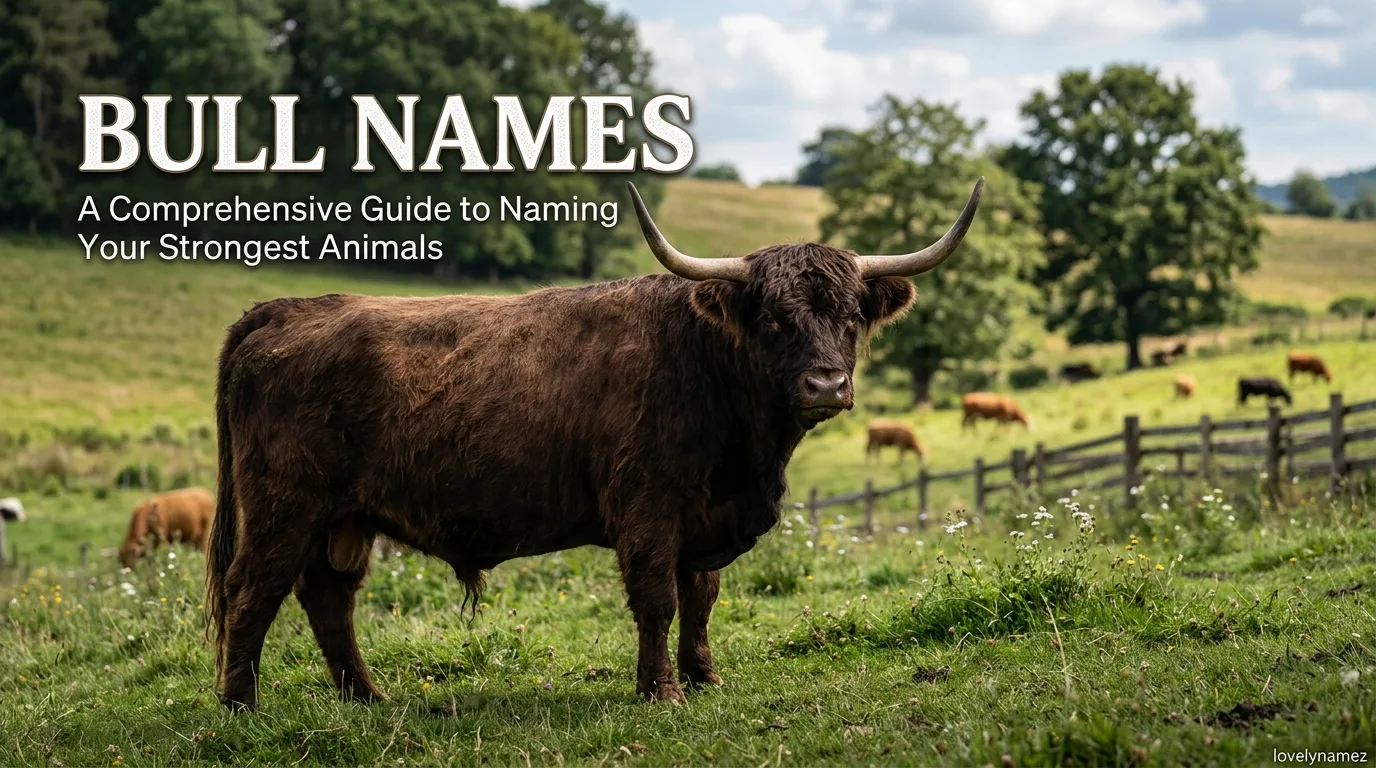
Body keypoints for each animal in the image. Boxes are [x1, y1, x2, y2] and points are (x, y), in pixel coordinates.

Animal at [203, 179, 986, 711]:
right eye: (772, 318)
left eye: (851, 315)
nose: (827, 384)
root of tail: (284, 309)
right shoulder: (648, 506)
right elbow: (658, 598)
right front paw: (662, 691)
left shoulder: (703, 520)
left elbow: (702, 597)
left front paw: (704, 677)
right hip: (284, 507)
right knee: (254, 591)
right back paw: (241, 704)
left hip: (343, 520)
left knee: (328, 597)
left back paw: (366, 697)